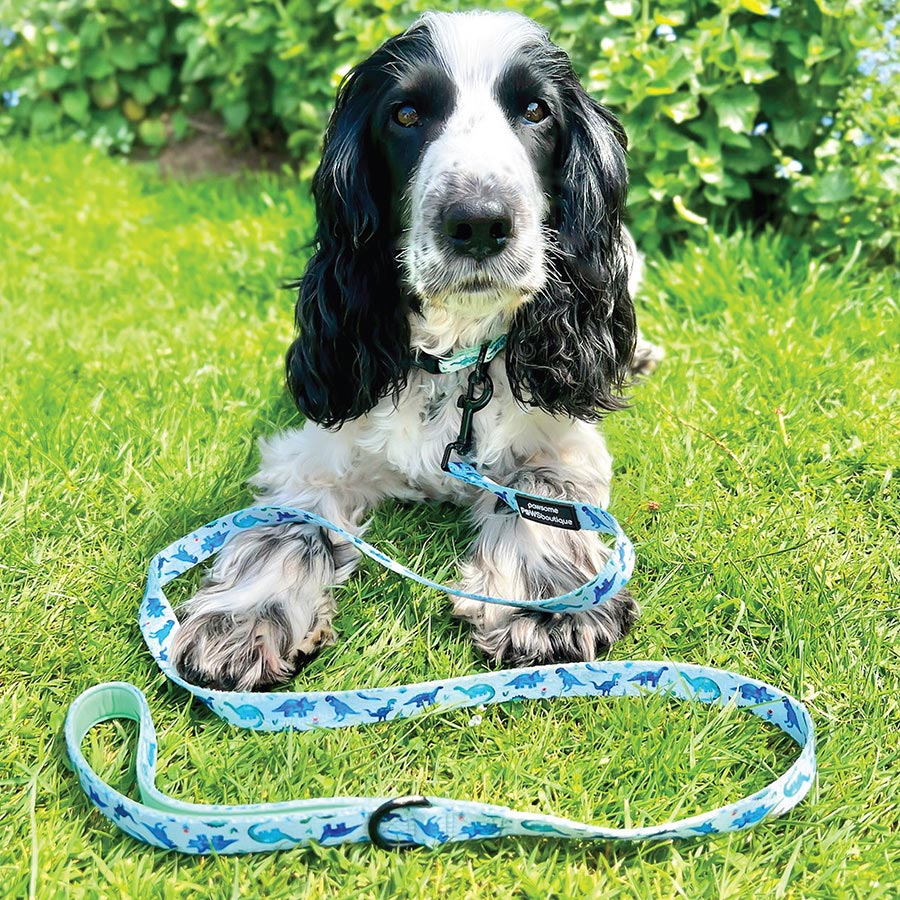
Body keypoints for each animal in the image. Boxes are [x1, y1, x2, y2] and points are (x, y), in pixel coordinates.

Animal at [172, 8, 660, 688]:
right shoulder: (313, 451)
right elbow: (289, 525)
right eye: (405, 114)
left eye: (535, 110)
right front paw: (243, 621)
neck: (455, 365)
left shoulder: (561, 439)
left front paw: (545, 609)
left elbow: (542, 497)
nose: (477, 222)